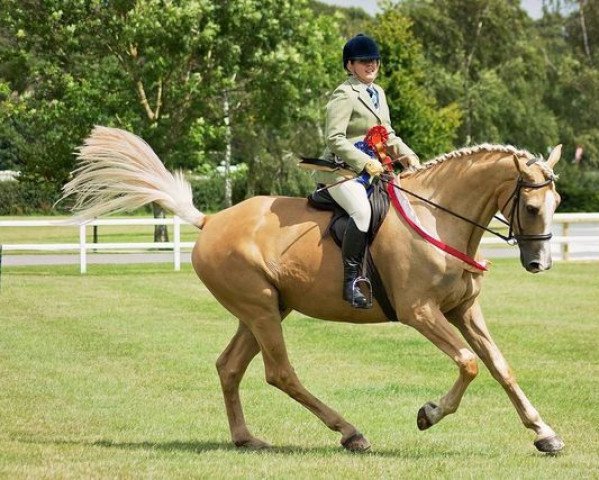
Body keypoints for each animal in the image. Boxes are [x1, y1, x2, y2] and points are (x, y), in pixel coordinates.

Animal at [63, 126, 564, 454]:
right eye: (532, 206)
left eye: (556, 203)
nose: (539, 264)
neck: (436, 216)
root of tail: (211, 221)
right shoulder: (420, 312)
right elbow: (468, 364)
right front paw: (429, 413)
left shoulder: (464, 310)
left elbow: (500, 366)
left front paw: (544, 433)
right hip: (261, 309)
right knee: (279, 373)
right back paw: (351, 432)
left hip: (267, 309)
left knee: (229, 367)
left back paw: (246, 438)